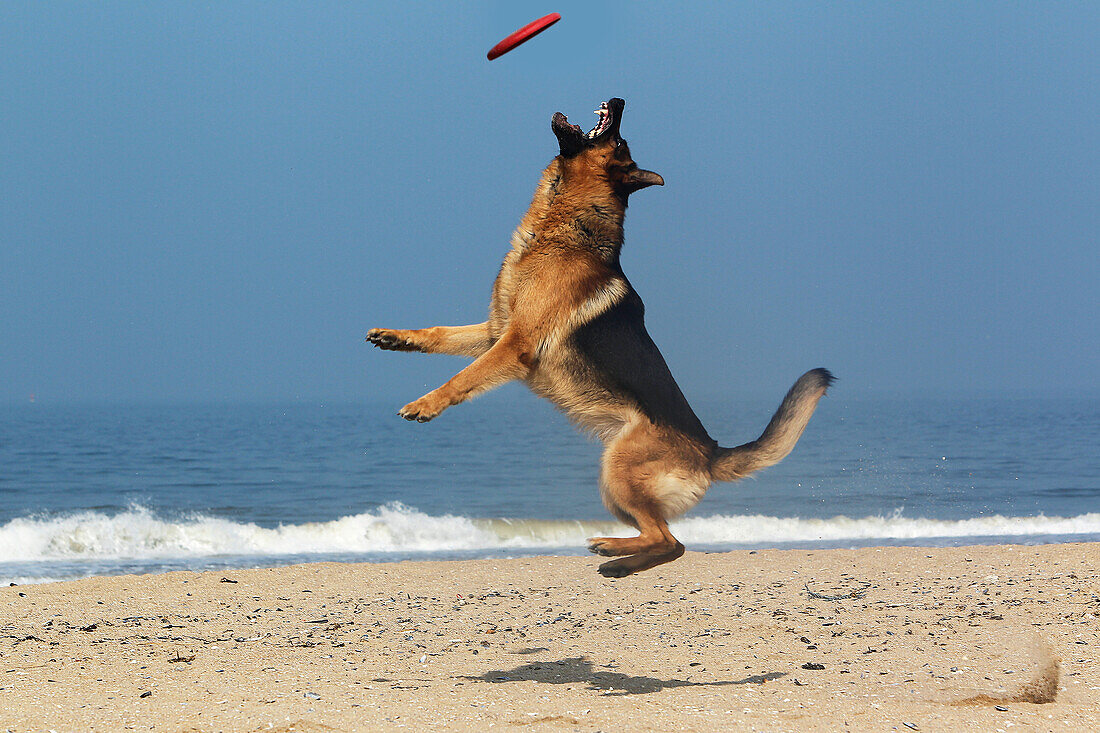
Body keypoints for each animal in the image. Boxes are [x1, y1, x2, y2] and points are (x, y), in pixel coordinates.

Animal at [365, 98, 827, 576]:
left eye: (620, 142)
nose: (620, 100)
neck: (563, 226)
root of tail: (710, 451)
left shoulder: (514, 345)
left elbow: (463, 378)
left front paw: (425, 404)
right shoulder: (497, 332)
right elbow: (438, 333)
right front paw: (396, 337)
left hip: (618, 470)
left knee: (671, 542)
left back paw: (617, 561)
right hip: (613, 484)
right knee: (662, 535)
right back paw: (614, 547)